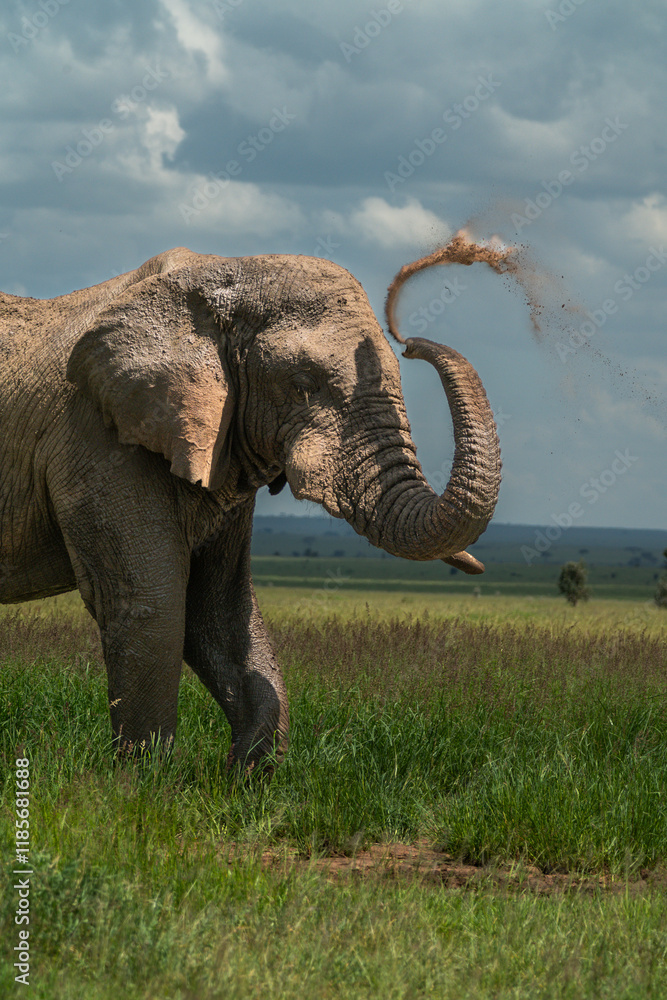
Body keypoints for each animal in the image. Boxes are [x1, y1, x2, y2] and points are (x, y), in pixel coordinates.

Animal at [0, 247, 501, 773]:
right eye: (303, 383)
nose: (409, 342)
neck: (222, 270)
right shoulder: (97, 440)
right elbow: (149, 603)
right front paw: (141, 783)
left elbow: (218, 610)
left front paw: (242, 776)